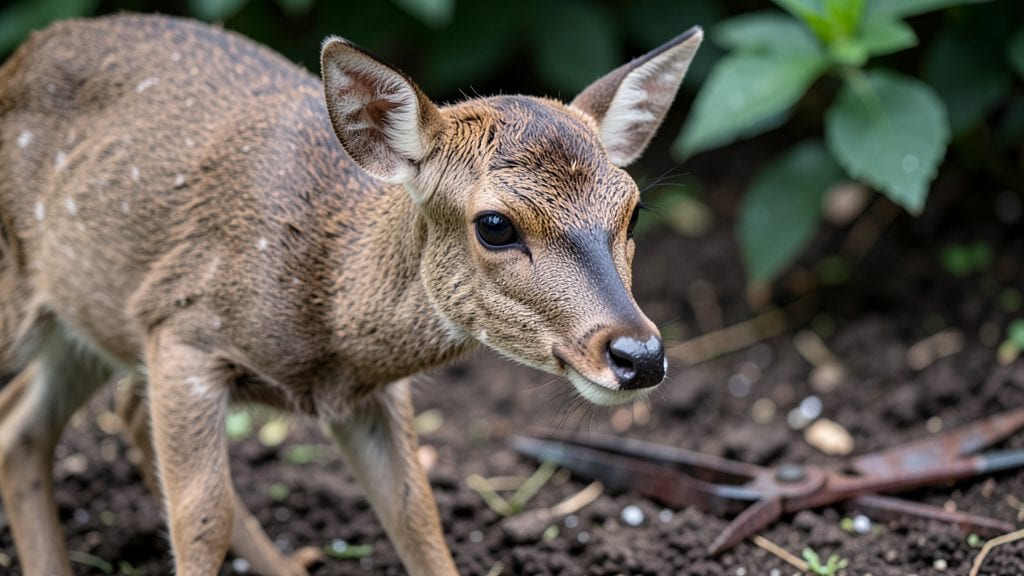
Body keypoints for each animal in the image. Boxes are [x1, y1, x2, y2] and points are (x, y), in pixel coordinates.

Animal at [0, 13, 702, 575]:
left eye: (634, 212)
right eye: (495, 225)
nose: (640, 355)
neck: (329, 327)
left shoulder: (371, 396)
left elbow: (415, 515)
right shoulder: (180, 326)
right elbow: (203, 517)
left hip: (88, 318)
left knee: (34, 424)